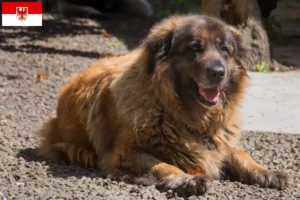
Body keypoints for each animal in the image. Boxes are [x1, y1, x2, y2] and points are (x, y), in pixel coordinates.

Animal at [36, 14, 290, 196]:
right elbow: (162, 165)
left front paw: (266, 172)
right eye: (194, 48)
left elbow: (240, 153)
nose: (219, 72)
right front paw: (187, 179)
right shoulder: (125, 154)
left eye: (224, 49)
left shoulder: (219, 143)